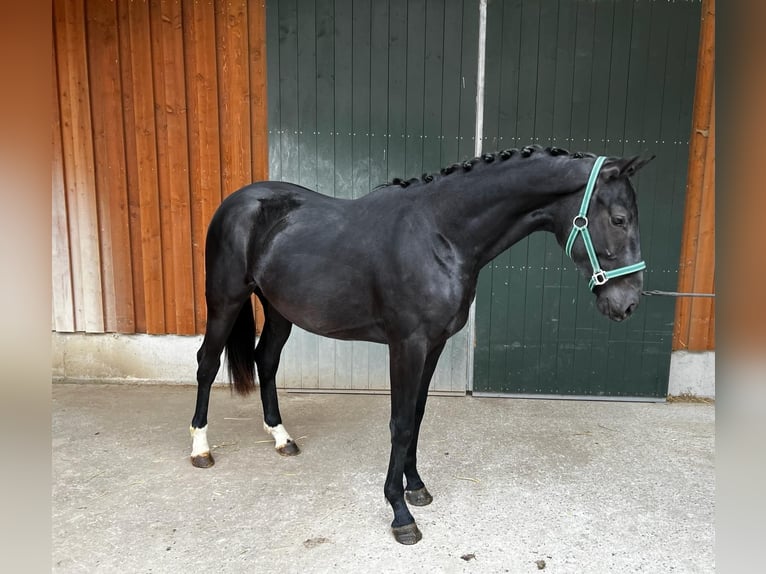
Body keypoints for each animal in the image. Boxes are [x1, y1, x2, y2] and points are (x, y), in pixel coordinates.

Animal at [188, 144, 656, 544]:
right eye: (619, 219)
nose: (629, 303)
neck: (439, 233)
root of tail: (239, 201)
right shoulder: (407, 346)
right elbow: (399, 422)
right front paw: (400, 513)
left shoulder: (434, 345)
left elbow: (417, 415)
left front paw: (416, 487)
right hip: (225, 300)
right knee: (207, 363)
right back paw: (201, 449)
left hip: (280, 309)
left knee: (265, 360)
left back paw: (282, 438)